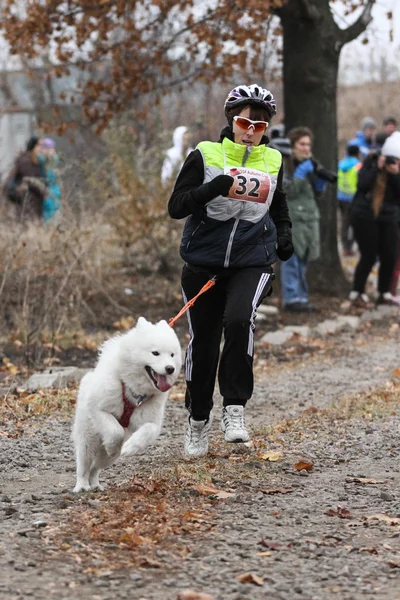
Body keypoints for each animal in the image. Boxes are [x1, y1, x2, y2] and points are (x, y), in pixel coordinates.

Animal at [71, 318, 181, 492]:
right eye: (155, 353)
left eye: (172, 354)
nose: (170, 368)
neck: (134, 391)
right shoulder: (98, 408)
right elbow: (116, 432)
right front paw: (113, 445)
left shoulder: (152, 420)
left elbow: (148, 430)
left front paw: (130, 447)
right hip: (87, 441)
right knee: (84, 466)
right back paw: (82, 486)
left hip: (107, 458)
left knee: (95, 468)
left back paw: (95, 484)